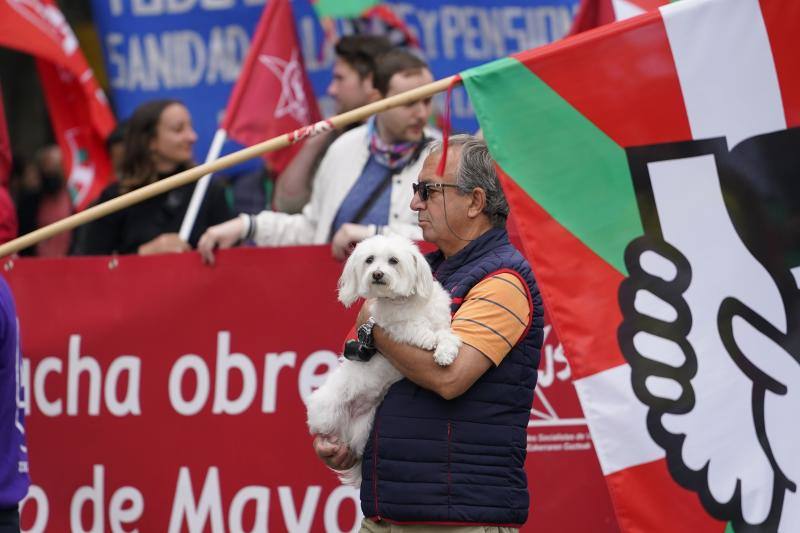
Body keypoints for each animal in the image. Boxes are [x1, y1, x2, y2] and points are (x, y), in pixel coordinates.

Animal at [306, 235, 460, 484]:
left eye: (393, 261)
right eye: (369, 260)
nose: (377, 274)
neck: (407, 301)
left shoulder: (441, 324)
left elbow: (446, 335)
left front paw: (445, 352)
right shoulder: (390, 327)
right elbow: (410, 327)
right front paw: (428, 339)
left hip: (362, 430)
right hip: (329, 410)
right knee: (323, 430)